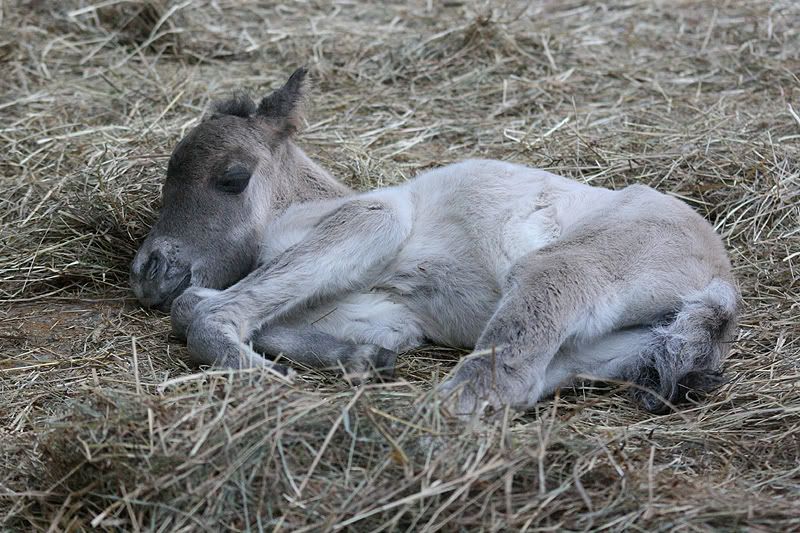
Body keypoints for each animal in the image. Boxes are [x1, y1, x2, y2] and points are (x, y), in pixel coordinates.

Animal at [130, 68, 736, 414]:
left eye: (232, 178)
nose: (147, 272)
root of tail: (719, 284)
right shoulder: (384, 312)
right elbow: (208, 305)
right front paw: (365, 358)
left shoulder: (374, 217)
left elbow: (202, 310)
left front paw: (268, 376)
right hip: (621, 344)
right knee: (528, 381)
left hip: (565, 271)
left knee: (491, 385)